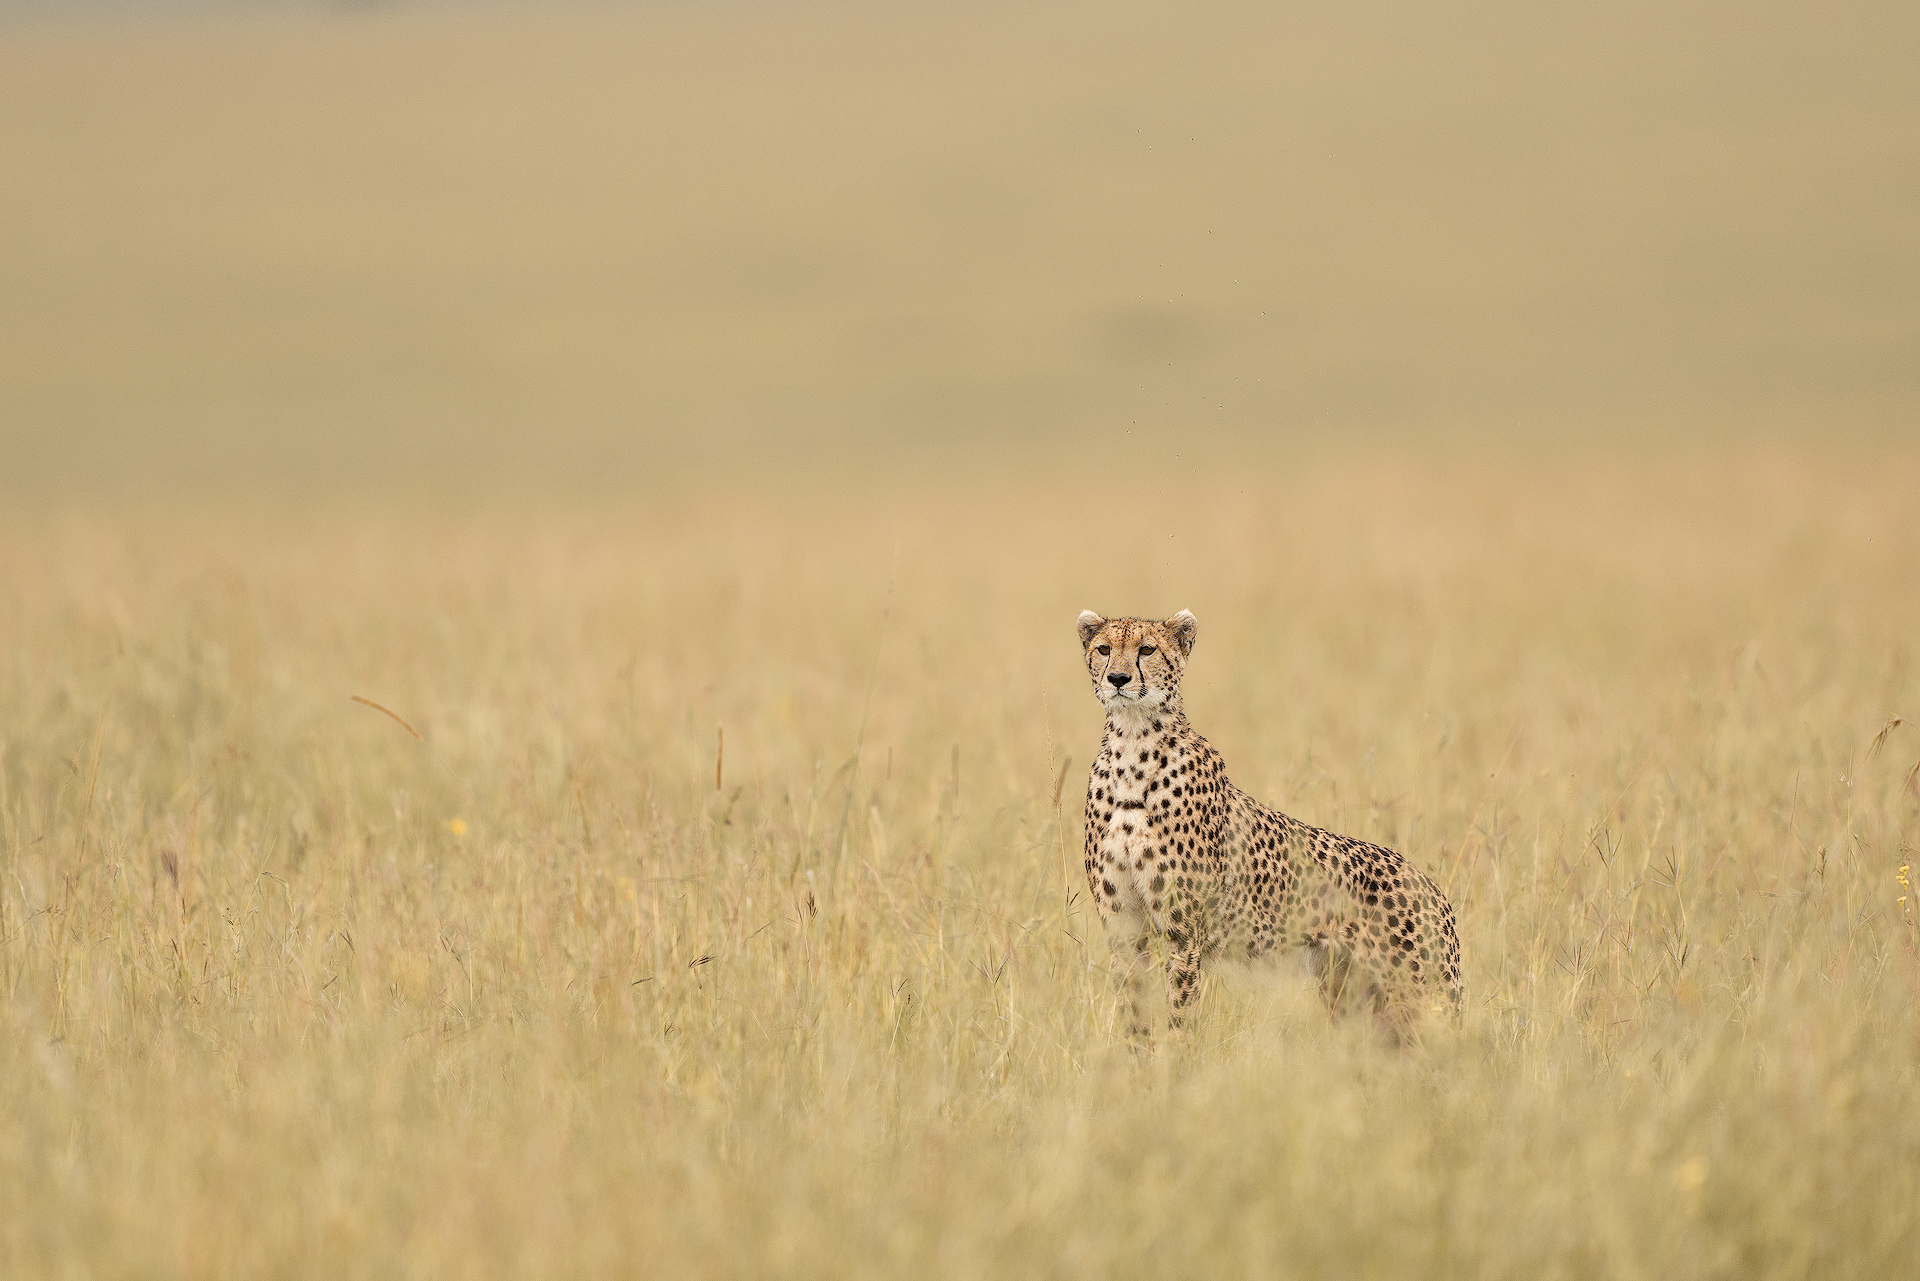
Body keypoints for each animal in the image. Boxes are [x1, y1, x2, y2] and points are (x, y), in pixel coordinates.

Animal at [1078, 609, 1462, 1041]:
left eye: (1147, 649)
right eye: (1104, 649)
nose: (1118, 678)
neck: (1132, 745)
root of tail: (1431, 886)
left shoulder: (1184, 933)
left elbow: (1180, 1012)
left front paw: (1176, 1055)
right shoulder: (1124, 928)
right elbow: (1134, 1014)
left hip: (1425, 999)